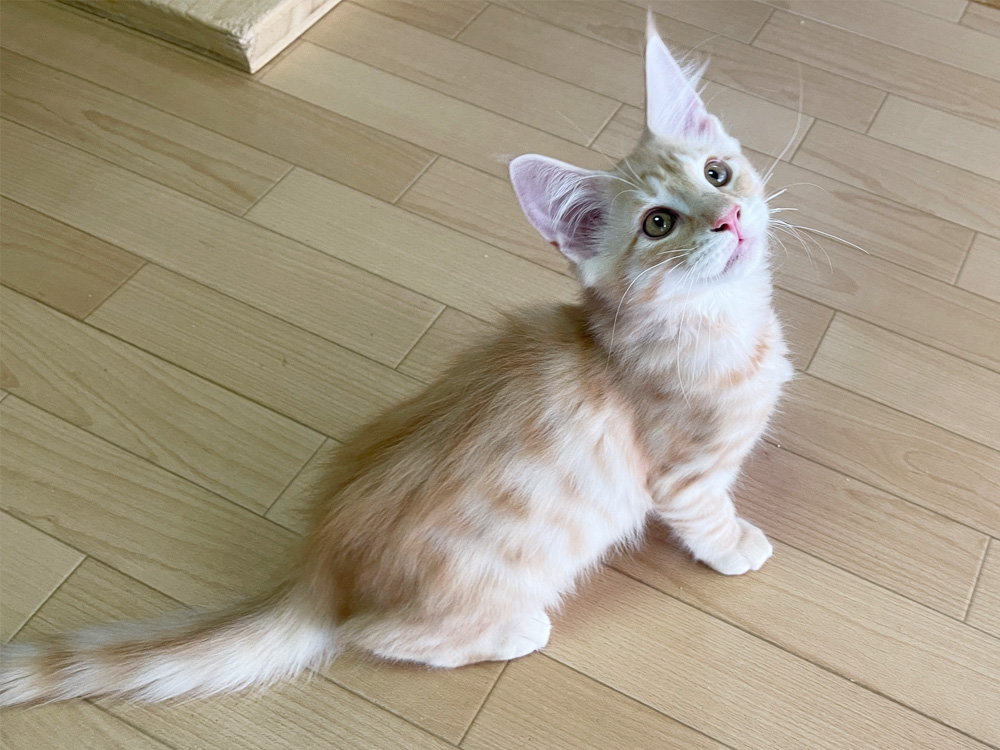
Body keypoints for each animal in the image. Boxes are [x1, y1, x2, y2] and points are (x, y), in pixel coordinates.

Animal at [0, 17, 792, 707]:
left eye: (717, 174)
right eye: (658, 223)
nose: (730, 219)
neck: (723, 322)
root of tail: (320, 569)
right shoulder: (683, 476)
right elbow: (707, 515)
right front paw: (736, 546)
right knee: (379, 638)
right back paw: (514, 631)